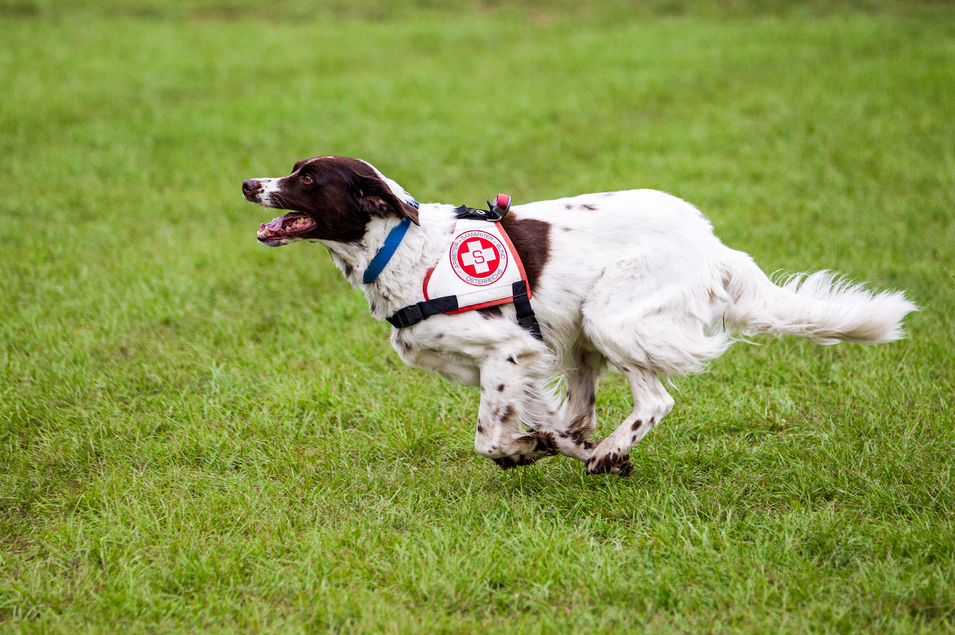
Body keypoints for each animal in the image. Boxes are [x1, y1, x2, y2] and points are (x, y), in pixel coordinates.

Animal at [241, 157, 920, 476]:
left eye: (306, 178)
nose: (250, 184)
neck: (400, 248)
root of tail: (713, 244)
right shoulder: (515, 361)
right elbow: (548, 422)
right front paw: (545, 446)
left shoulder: (508, 349)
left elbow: (490, 438)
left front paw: (528, 452)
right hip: (577, 338)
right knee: (588, 407)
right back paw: (596, 449)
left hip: (608, 316)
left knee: (655, 400)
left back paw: (610, 451)